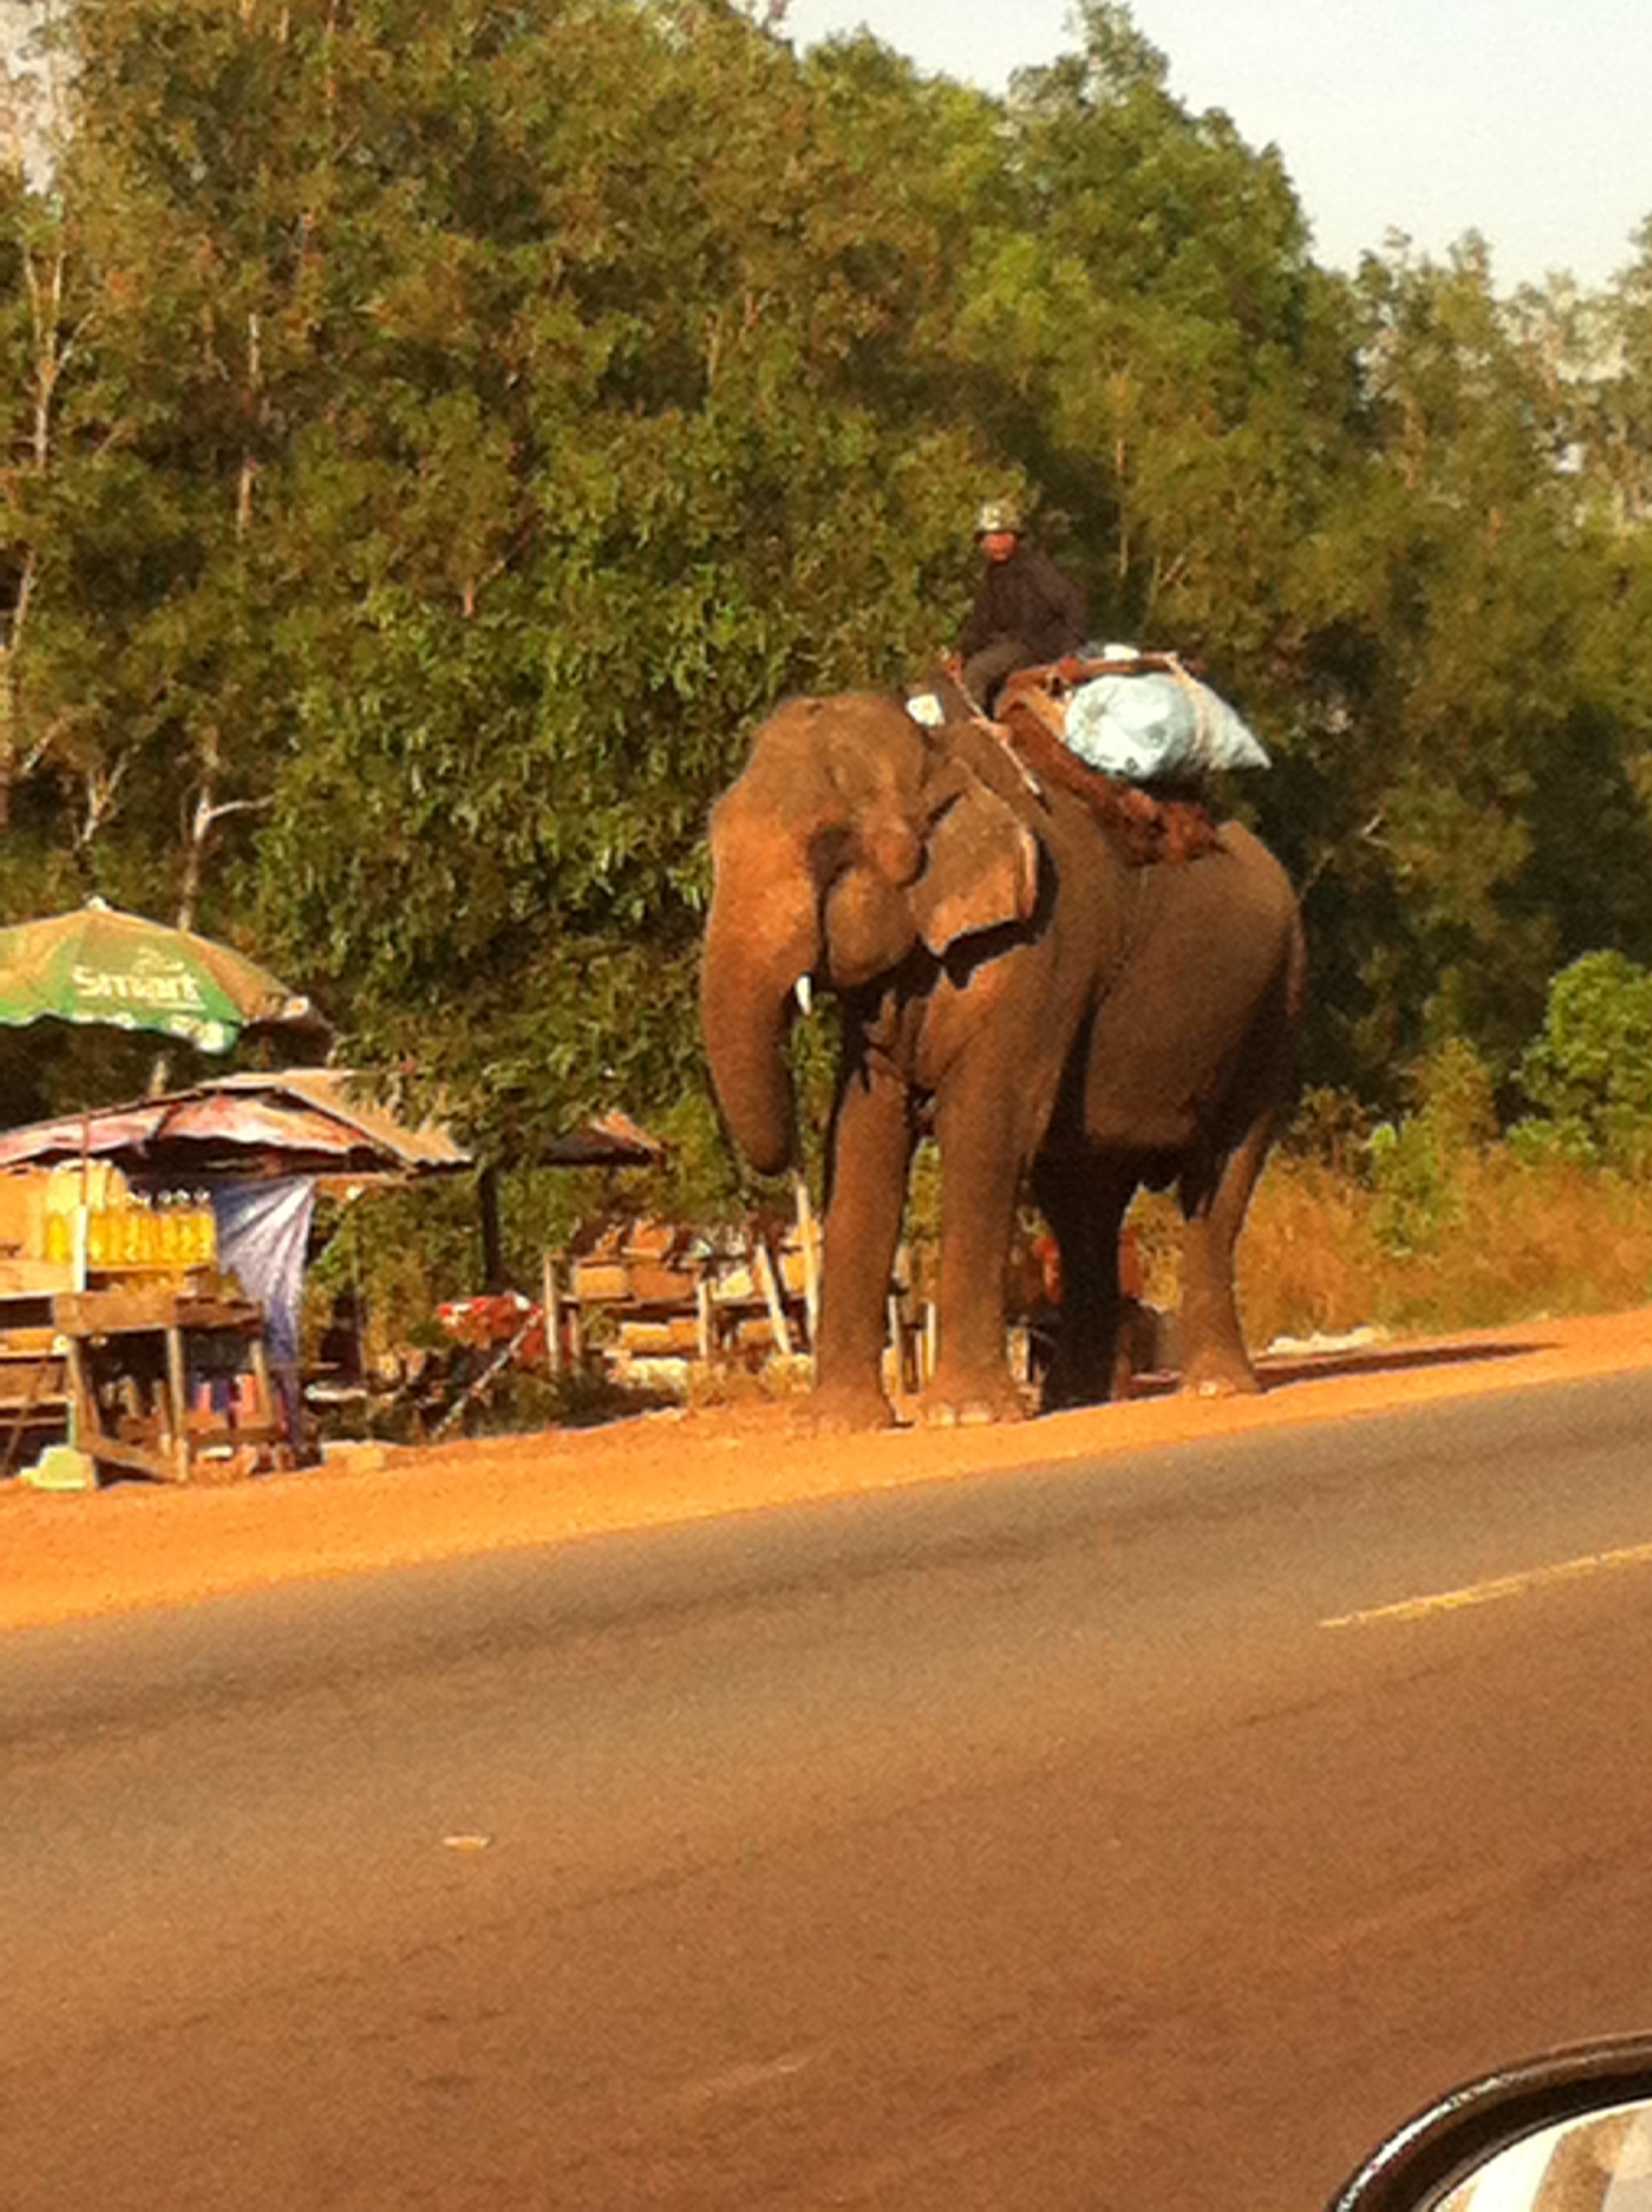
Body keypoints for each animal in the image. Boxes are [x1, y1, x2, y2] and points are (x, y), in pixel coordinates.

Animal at [703, 681, 1309, 1433]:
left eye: (829, 844)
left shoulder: (1038, 953)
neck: (938, 761)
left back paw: (1215, 1388)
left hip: (1275, 1008)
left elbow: (983, 1130)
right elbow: (863, 1137)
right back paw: (1077, 1399)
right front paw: (836, 1425)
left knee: (1219, 1180)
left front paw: (965, 1416)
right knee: (1083, 1207)